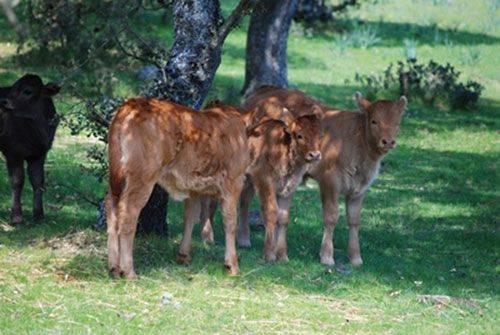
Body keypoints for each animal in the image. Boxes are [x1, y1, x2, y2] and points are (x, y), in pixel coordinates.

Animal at [0, 74, 60, 226]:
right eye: (13, 87)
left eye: (27, 91)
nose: (3, 101)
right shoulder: (12, 151)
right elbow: (17, 181)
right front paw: (16, 217)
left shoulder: (40, 153)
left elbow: (38, 181)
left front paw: (39, 216)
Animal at [105, 98, 254, 280]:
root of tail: (134, 103)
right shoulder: (234, 181)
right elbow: (230, 220)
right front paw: (232, 265)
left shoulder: (194, 188)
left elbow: (190, 217)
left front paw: (183, 255)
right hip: (141, 177)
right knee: (128, 212)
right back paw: (129, 271)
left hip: (117, 178)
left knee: (111, 207)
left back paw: (113, 268)